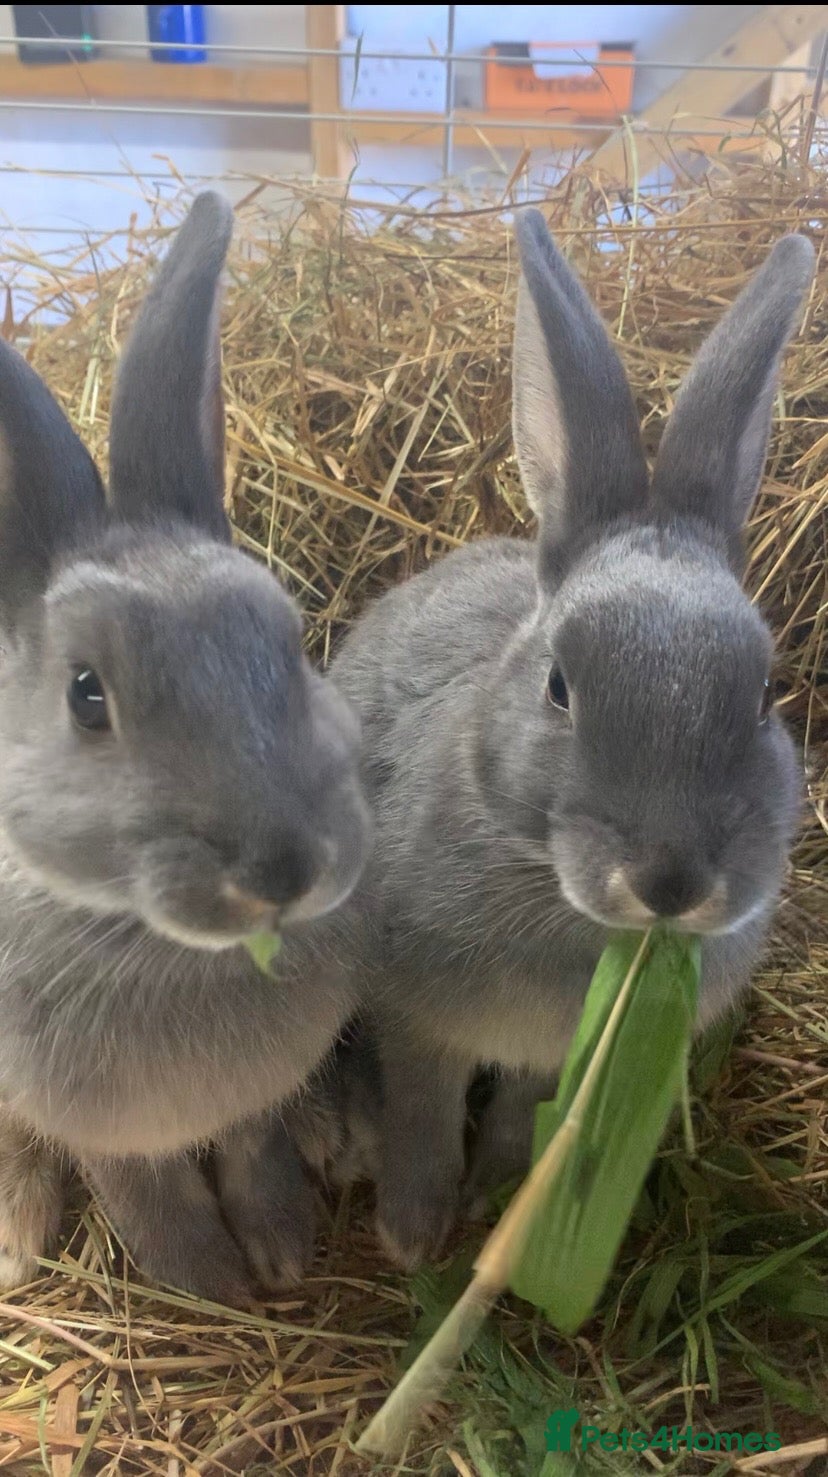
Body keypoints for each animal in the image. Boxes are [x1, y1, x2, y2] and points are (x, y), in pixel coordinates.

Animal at [0, 191, 371, 1304]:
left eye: (290, 642)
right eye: (88, 696)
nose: (283, 869)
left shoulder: (250, 1100)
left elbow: (253, 1150)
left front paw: (281, 1253)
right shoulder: (96, 1126)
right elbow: (142, 1194)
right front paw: (210, 1283)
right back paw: (18, 1237)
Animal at [313, 213, 815, 1269]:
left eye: (763, 695)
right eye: (558, 688)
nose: (671, 882)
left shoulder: (554, 1061)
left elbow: (515, 1121)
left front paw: (498, 1196)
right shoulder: (416, 1023)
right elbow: (423, 1115)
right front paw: (413, 1234)